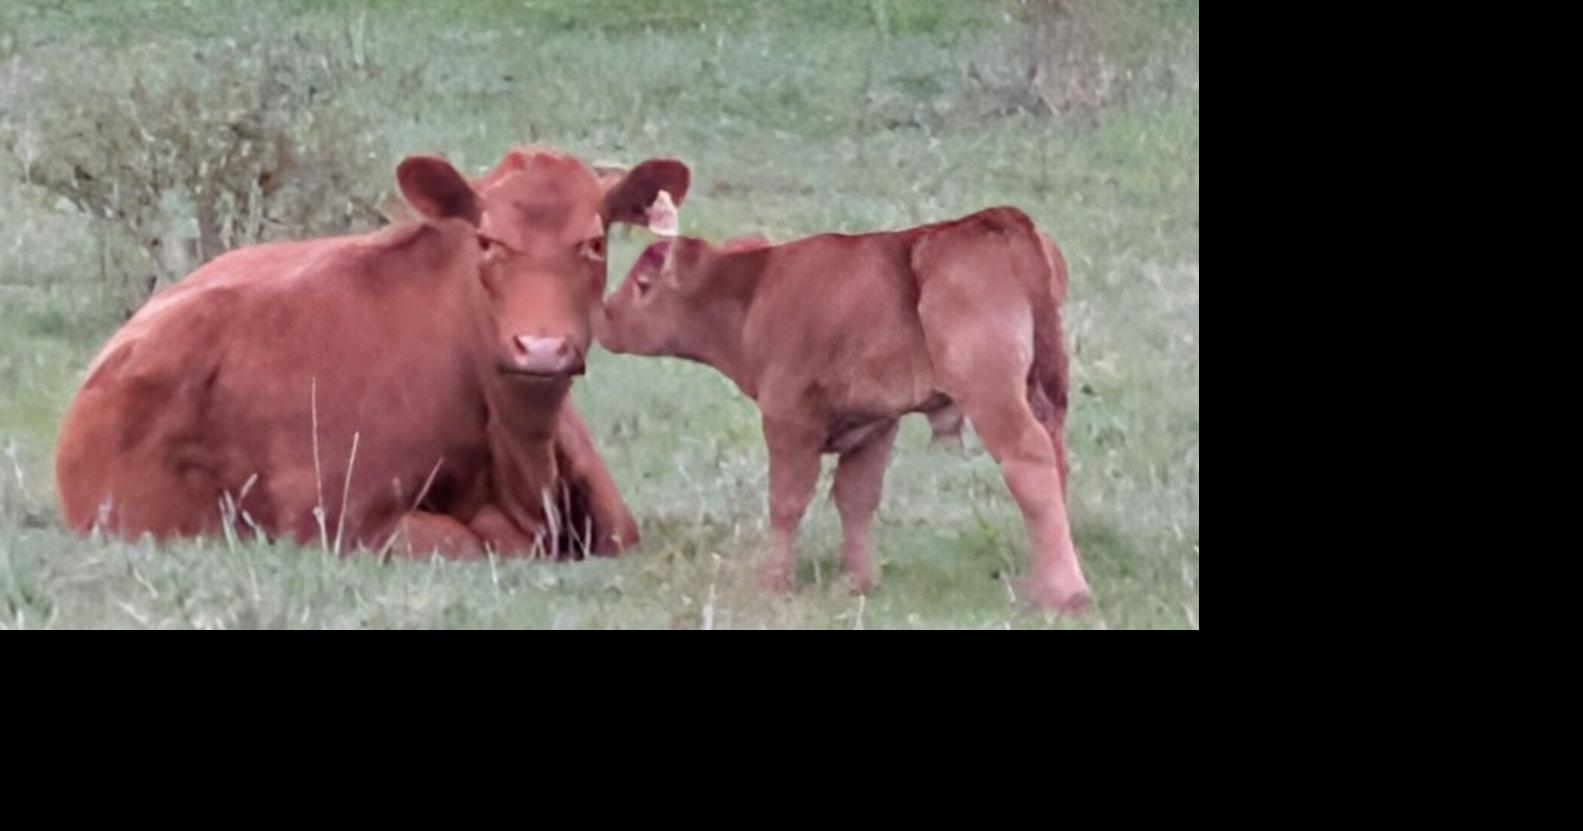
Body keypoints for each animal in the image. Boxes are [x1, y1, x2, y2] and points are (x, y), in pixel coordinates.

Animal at [597, 207, 1091, 613]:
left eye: (642, 284)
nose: (604, 316)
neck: (757, 289)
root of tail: (997, 218)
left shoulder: (787, 418)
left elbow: (787, 500)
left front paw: (773, 581)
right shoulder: (876, 424)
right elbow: (857, 498)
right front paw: (858, 581)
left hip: (992, 392)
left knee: (1029, 460)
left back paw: (1066, 594)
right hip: (1042, 394)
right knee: (1056, 463)